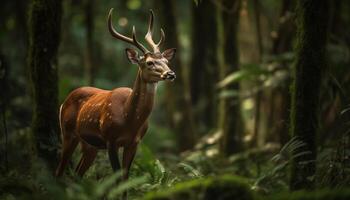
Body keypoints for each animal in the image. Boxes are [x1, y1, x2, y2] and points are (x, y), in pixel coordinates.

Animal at [55, 7, 176, 186]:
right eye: (149, 62)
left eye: (166, 61)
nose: (170, 74)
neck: (129, 119)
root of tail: (64, 102)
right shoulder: (110, 139)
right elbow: (117, 179)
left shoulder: (134, 142)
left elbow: (125, 179)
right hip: (67, 131)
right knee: (59, 171)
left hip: (89, 145)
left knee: (77, 173)